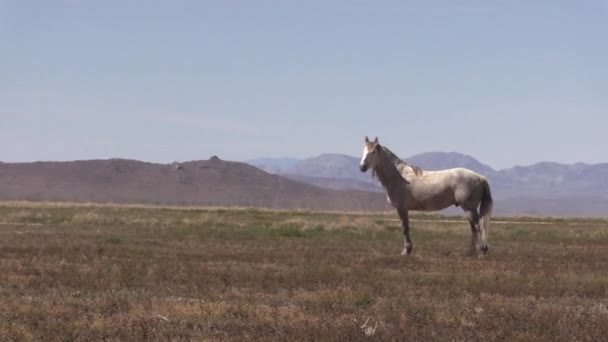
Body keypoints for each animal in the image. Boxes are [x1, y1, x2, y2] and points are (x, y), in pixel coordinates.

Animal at [356, 136, 494, 256]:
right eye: (363, 151)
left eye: (373, 152)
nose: (362, 167)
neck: (399, 176)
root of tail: (480, 177)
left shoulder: (402, 208)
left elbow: (405, 228)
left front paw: (406, 250)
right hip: (469, 210)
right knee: (474, 229)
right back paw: (471, 252)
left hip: (469, 209)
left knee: (478, 227)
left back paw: (482, 252)